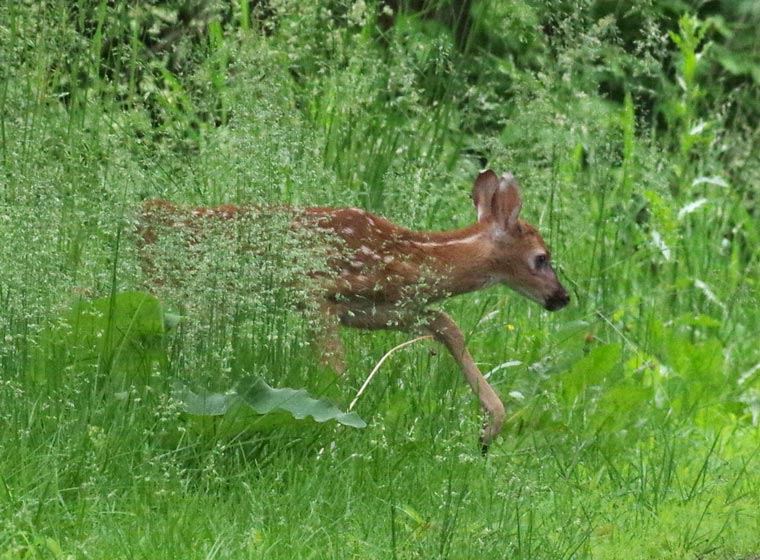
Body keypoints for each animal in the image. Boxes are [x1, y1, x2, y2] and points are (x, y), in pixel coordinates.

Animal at [138, 170, 570, 452]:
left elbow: (446, 324)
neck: (417, 259)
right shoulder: (317, 290)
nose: (562, 297)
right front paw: (336, 422)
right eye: (541, 258)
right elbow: (334, 366)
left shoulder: (377, 307)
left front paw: (489, 428)